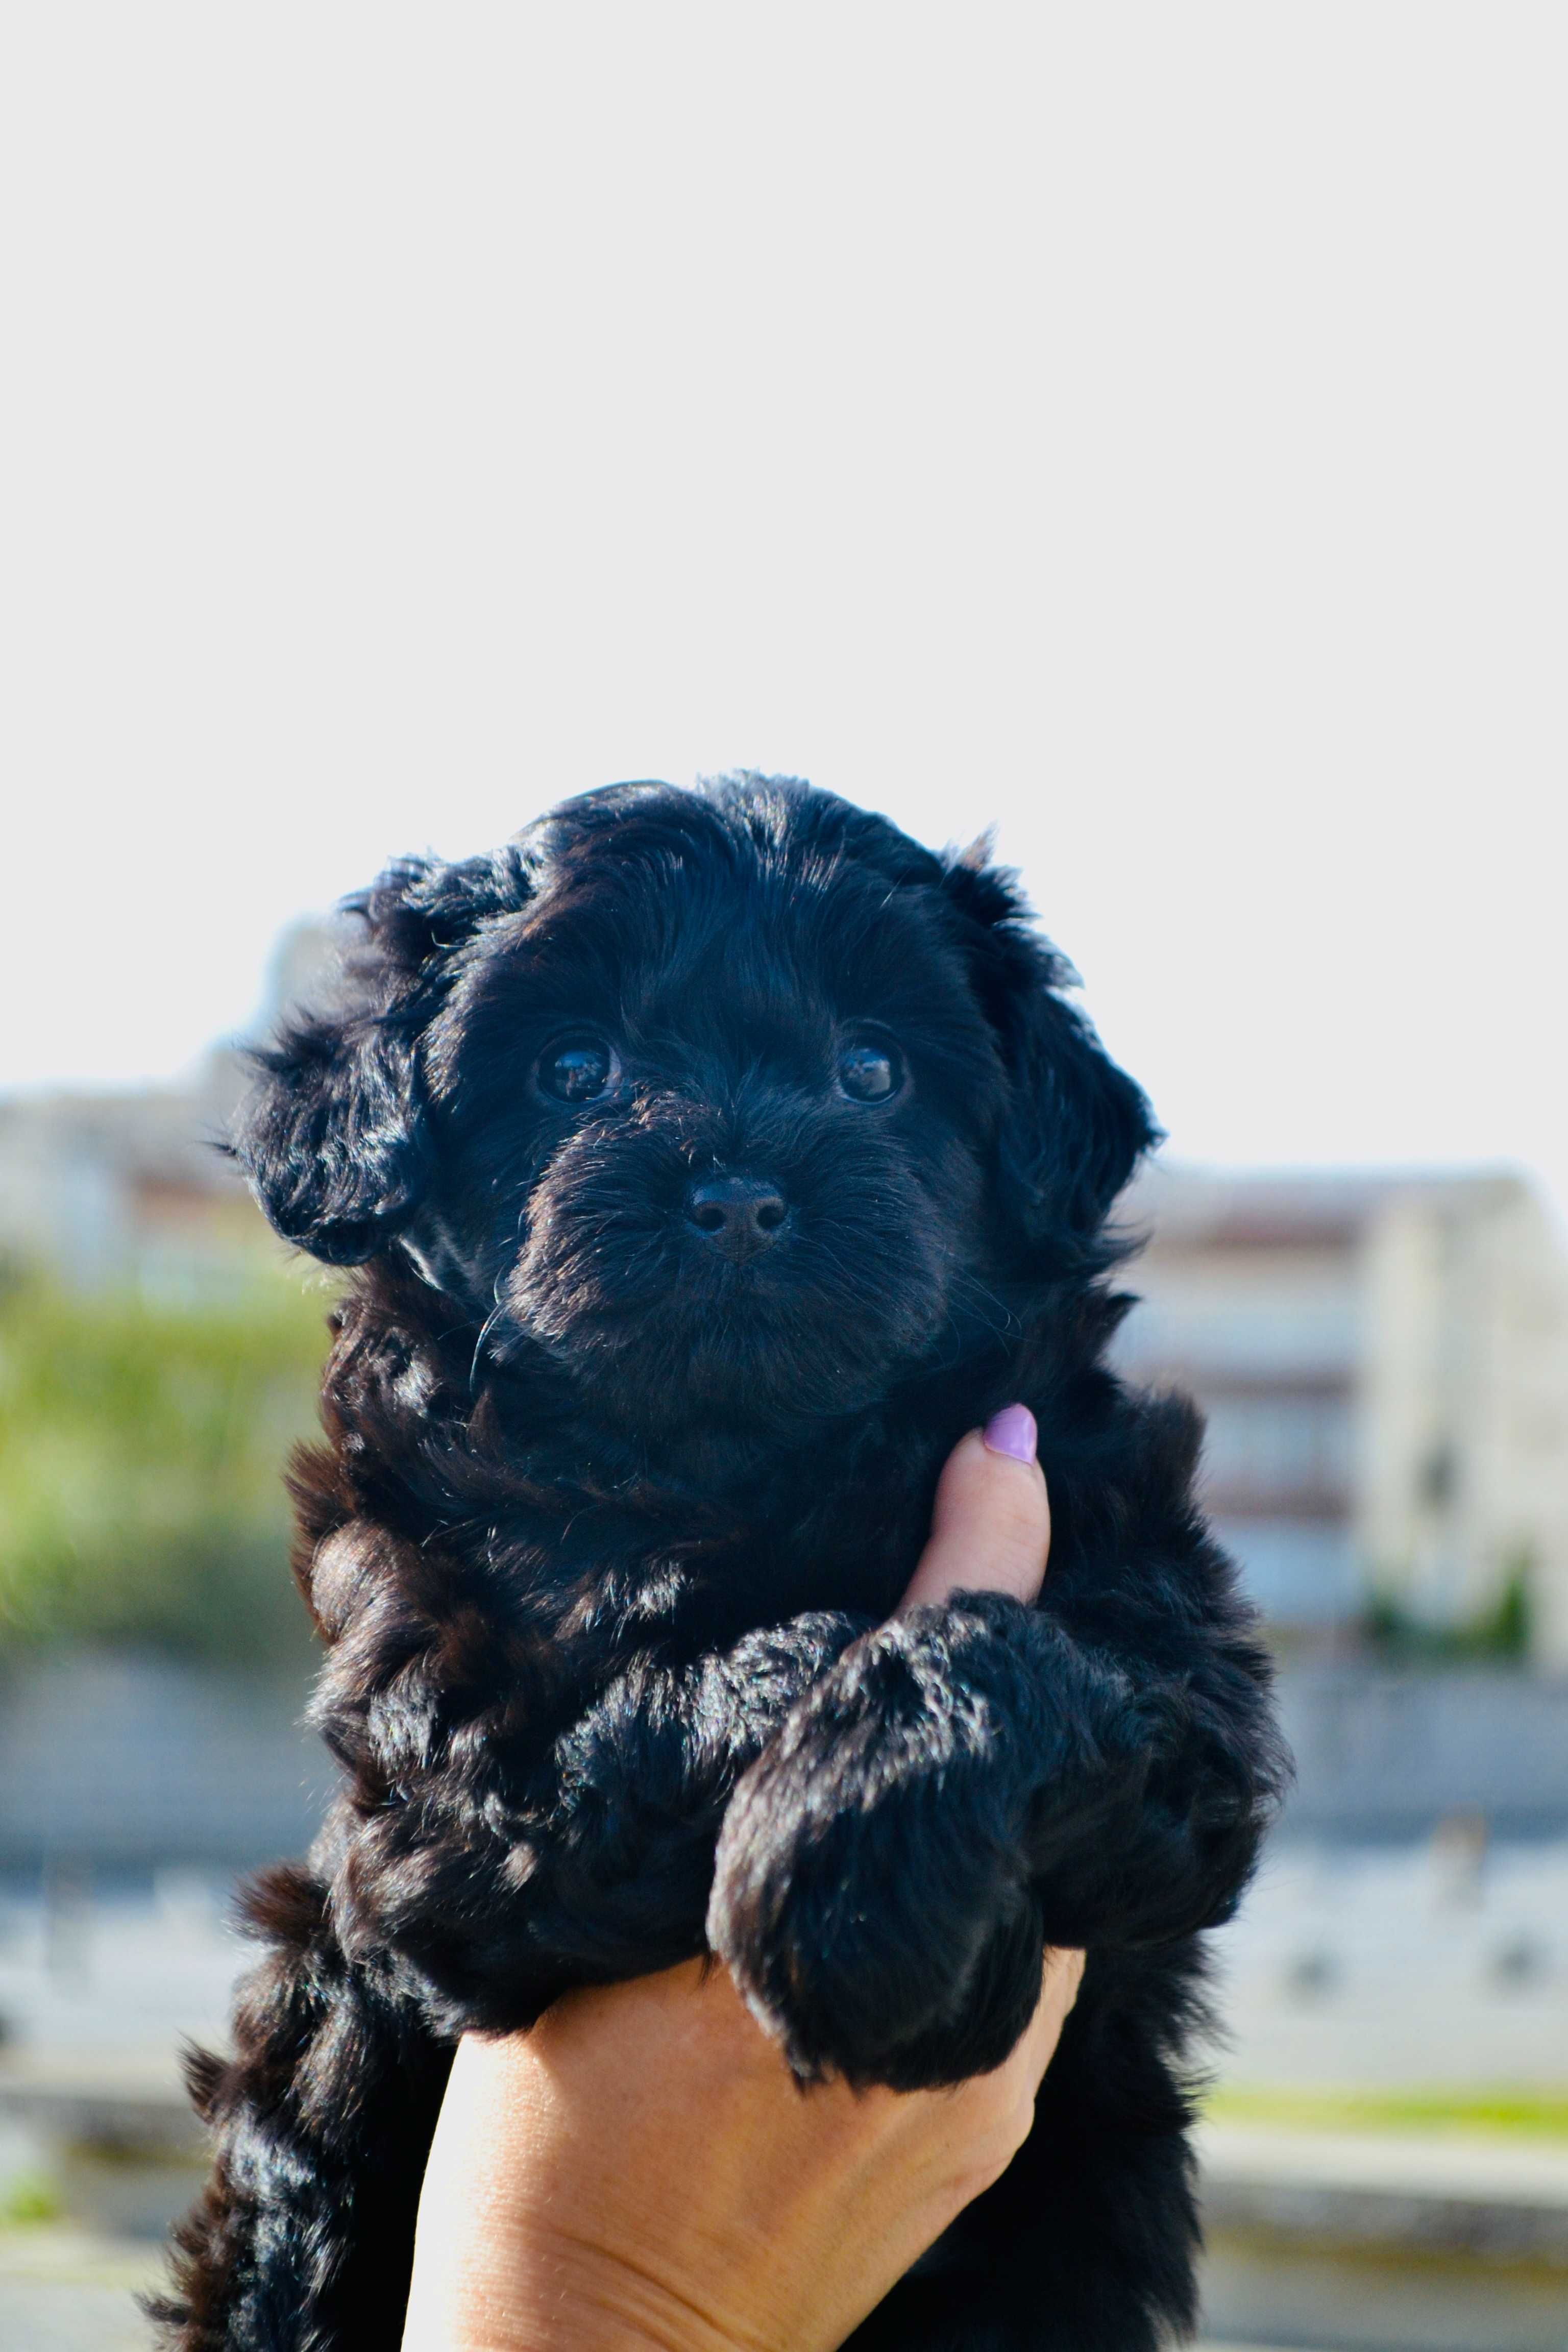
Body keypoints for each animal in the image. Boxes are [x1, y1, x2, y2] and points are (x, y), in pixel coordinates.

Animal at [156, 786, 1288, 2352]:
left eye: (872, 1068)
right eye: (574, 1067)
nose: (741, 1196)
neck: (744, 1466)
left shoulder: (1182, 1689)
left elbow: (1014, 1648)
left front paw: (852, 1885)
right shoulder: (437, 1796)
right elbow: (654, 1702)